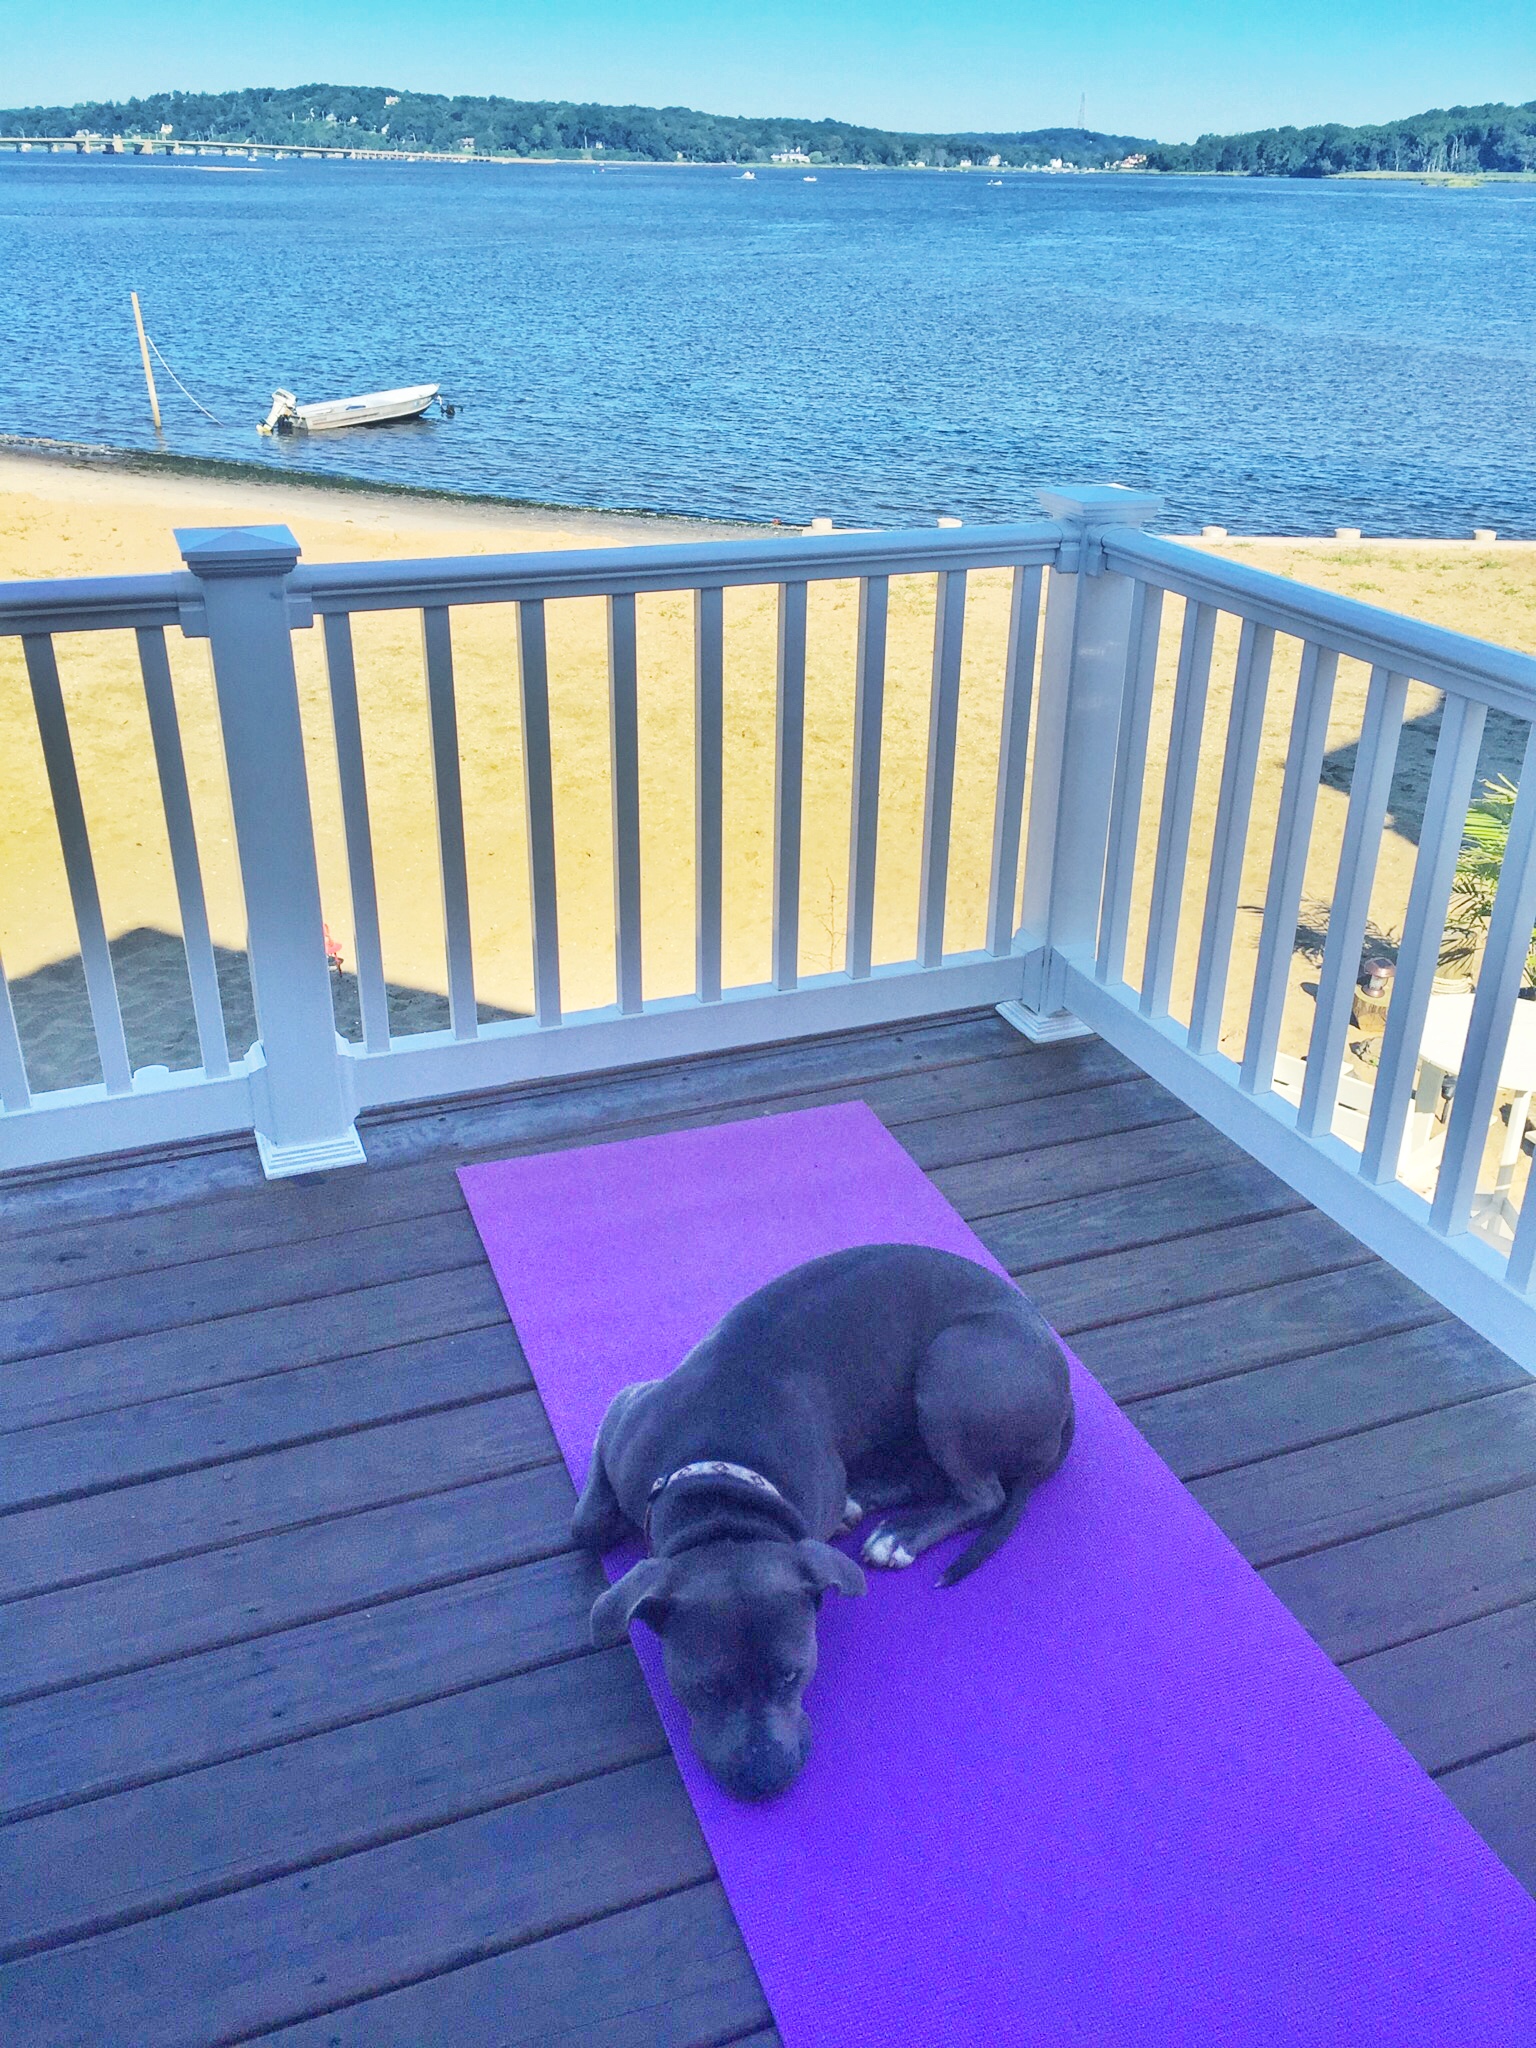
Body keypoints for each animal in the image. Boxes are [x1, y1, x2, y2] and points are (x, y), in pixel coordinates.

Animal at [573, 1236, 1073, 1802]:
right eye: (705, 1687)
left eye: (793, 1675)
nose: (764, 1779)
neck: (721, 1500)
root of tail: (1064, 1390)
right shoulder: (623, 1413)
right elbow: (586, 1525)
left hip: (952, 1365)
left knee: (981, 1494)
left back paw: (900, 1532)